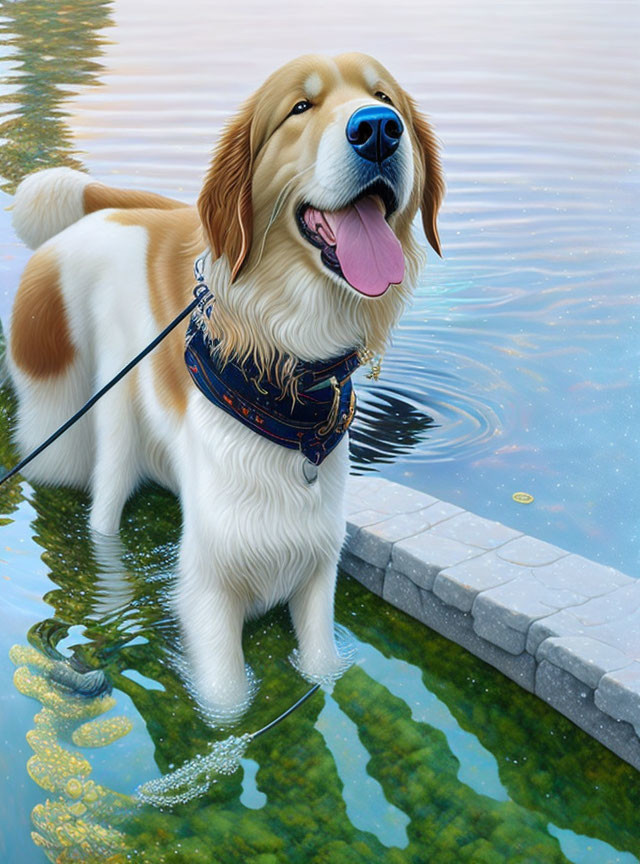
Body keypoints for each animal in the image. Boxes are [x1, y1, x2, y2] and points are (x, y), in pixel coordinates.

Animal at [6, 52, 444, 708]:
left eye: (385, 97)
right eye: (300, 107)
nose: (378, 129)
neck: (289, 391)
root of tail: (110, 211)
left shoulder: (316, 581)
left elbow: (321, 670)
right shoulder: (208, 599)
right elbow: (228, 702)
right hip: (92, 420)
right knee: (102, 510)